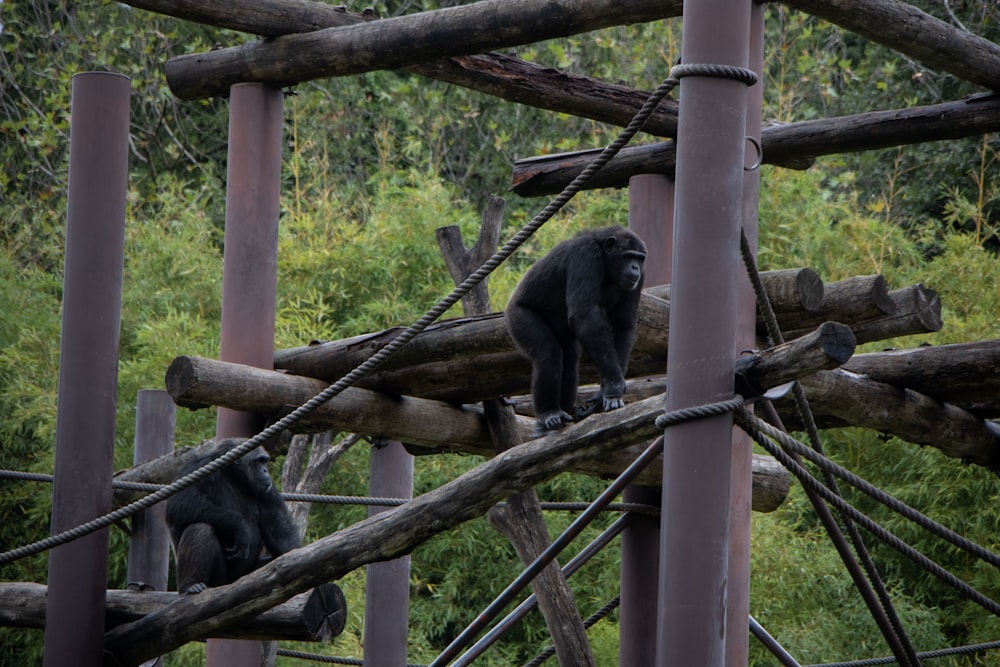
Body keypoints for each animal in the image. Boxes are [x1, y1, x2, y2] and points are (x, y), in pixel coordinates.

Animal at [165, 438, 300, 596]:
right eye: (258, 461)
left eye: (264, 461)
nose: (265, 470)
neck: (233, 477)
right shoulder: (197, 467)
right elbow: (179, 501)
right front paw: (239, 526)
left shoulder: (269, 488)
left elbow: (279, 525)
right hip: (219, 579)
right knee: (200, 528)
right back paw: (191, 585)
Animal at [508, 227, 648, 440]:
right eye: (628, 256)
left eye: (639, 259)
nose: (635, 267)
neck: (606, 263)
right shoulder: (585, 255)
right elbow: (585, 315)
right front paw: (614, 385)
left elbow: (623, 325)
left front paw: (604, 391)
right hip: (518, 317)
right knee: (548, 352)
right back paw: (548, 415)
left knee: (569, 361)